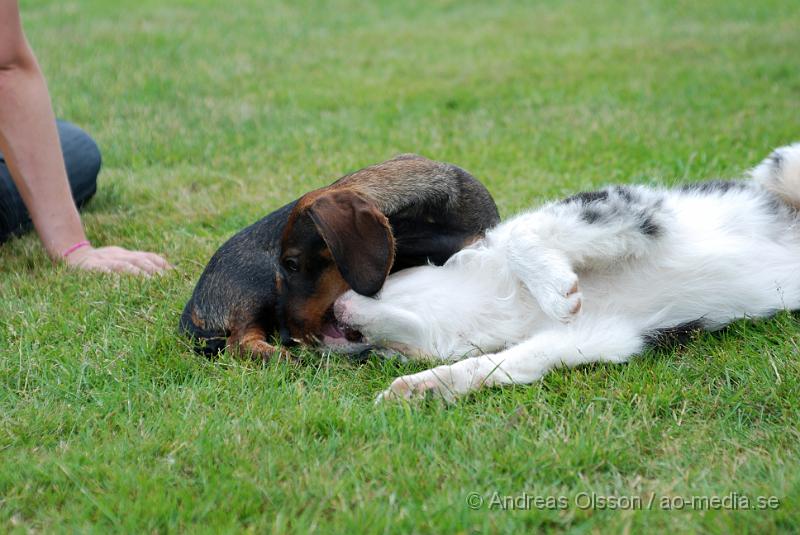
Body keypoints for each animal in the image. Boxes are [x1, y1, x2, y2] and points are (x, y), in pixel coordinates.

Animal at [322, 144, 800, 404]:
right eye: (385, 357)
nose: (325, 321)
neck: (503, 304)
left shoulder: (630, 209)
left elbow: (524, 238)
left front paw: (557, 290)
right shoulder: (599, 336)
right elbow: (496, 364)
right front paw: (419, 388)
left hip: (781, 168)